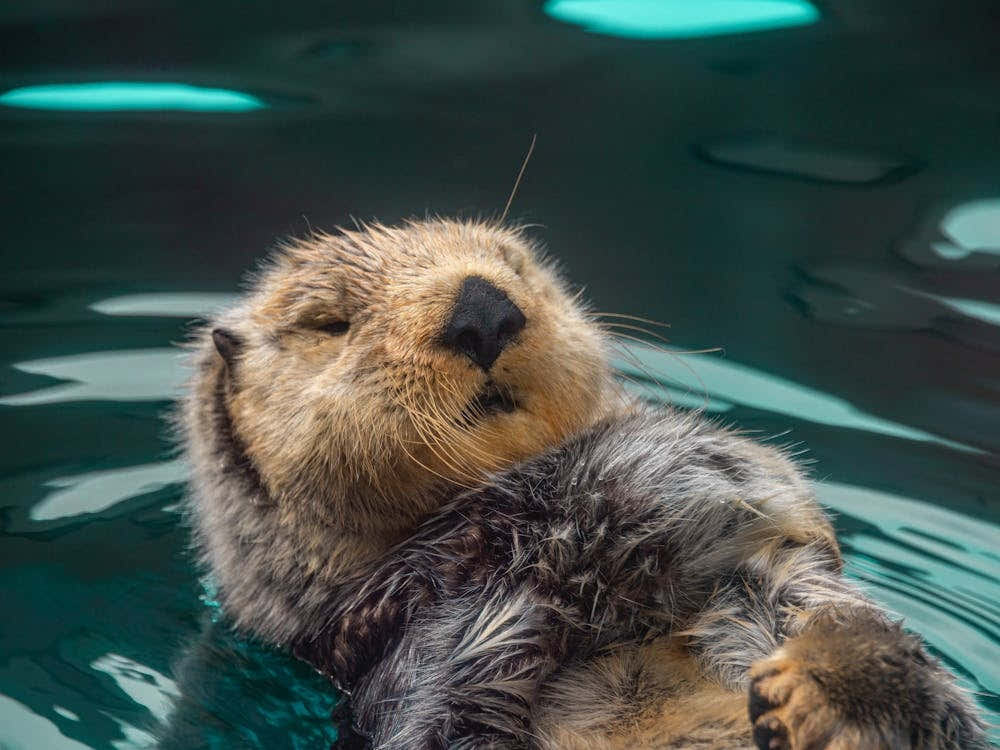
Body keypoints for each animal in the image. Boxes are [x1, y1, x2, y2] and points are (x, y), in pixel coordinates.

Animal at [179, 218, 987, 749]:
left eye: (513, 264)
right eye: (329, 323)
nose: (482, 306)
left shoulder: (761, 567)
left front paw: (834, 683)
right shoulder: (386, 638)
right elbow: (444, 695)